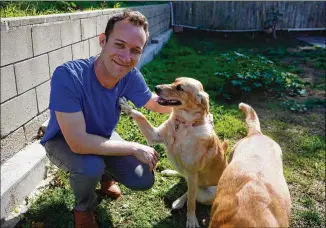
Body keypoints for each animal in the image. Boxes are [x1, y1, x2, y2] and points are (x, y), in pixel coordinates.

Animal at [118, 77, 228, 227]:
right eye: (174, 81)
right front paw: (126, 106)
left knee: (192, 192)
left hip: (207, 193)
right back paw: (171, 175)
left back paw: (179, 201)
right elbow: (140, 115)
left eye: (180, 88)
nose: (156, 88)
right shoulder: (154, 136)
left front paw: (191, 219)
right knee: (184, 180)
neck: (182, 124)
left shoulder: (193, 173)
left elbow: (191, 202)